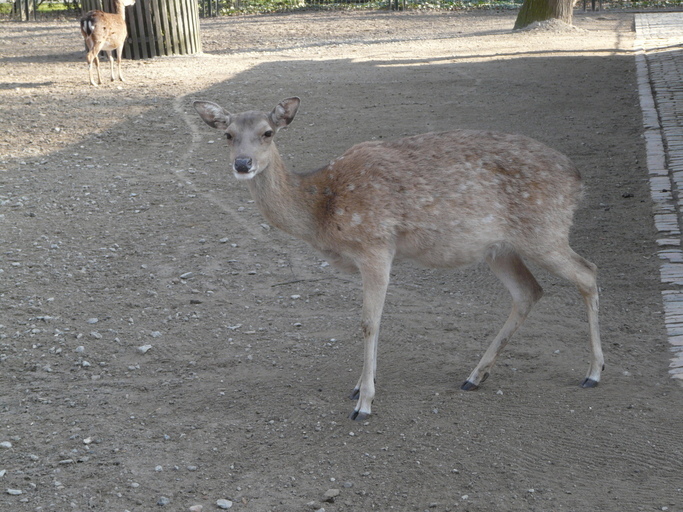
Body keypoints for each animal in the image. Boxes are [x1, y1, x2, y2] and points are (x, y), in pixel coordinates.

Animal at [192, 96, 604, 420]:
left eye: (268, 132)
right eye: (227, 135)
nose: (242, 164)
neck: (323, 209)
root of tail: (579, 180)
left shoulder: (375, 245)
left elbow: (369, 322)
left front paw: (364, 403)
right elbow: (373, 321)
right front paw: (360, 386)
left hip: (545, 232)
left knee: (588, 273)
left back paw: (594, 373)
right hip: (499, 248)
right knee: (529, 292)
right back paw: (474, 376)